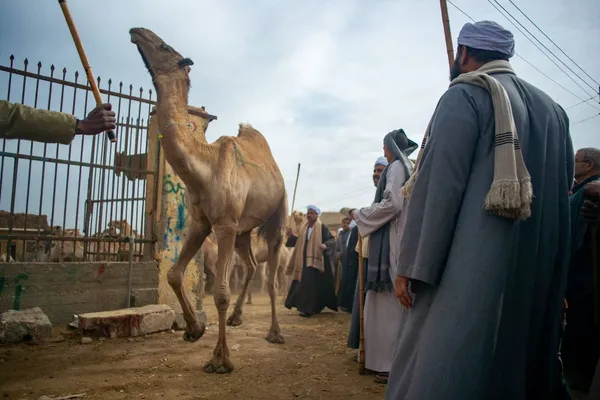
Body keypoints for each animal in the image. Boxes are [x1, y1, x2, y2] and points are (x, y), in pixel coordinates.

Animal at [131, 28, 288, 376]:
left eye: (164, 46)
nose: (137, 32)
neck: (205, 166)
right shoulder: (203, 223)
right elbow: (174, 273)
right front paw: (194, 329)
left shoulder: (224, 225)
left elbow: (220, 292)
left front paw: (220, 359)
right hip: (244, 231)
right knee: (252, 265)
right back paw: (239, 317)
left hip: (278, 214)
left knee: (271, 277)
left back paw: (275, 333)